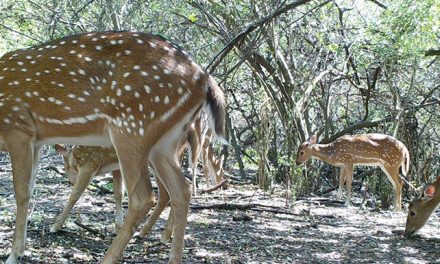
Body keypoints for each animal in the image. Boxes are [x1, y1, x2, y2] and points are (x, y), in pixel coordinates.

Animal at [0, 31, 225, 264]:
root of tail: (206, 80)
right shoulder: (36, 141)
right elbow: (31, 189)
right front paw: (22, 250)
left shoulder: (17, 128)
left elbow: (21, 193)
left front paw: (14, 254)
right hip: (163, 144)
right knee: (181, 190)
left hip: (132, 127)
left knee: (143, 196)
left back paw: (110, 255)